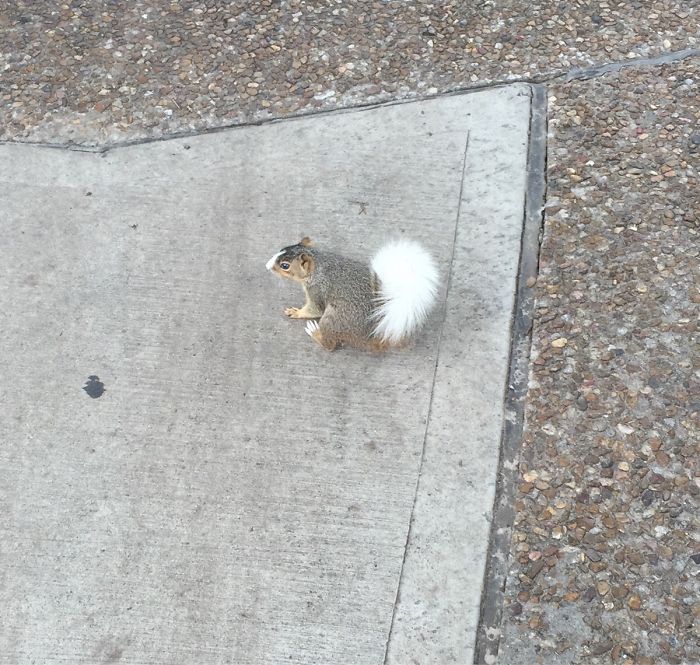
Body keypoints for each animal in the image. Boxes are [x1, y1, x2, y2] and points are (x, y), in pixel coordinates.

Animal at [266, 237, 439, 351]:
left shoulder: (317, 290)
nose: (267, 266)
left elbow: (314, 309)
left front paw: (296, 312)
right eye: (282, 249)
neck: (318, 265)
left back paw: (316, 333)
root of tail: (376, 333)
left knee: (330, 345)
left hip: (333, 319)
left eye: (285, 265)